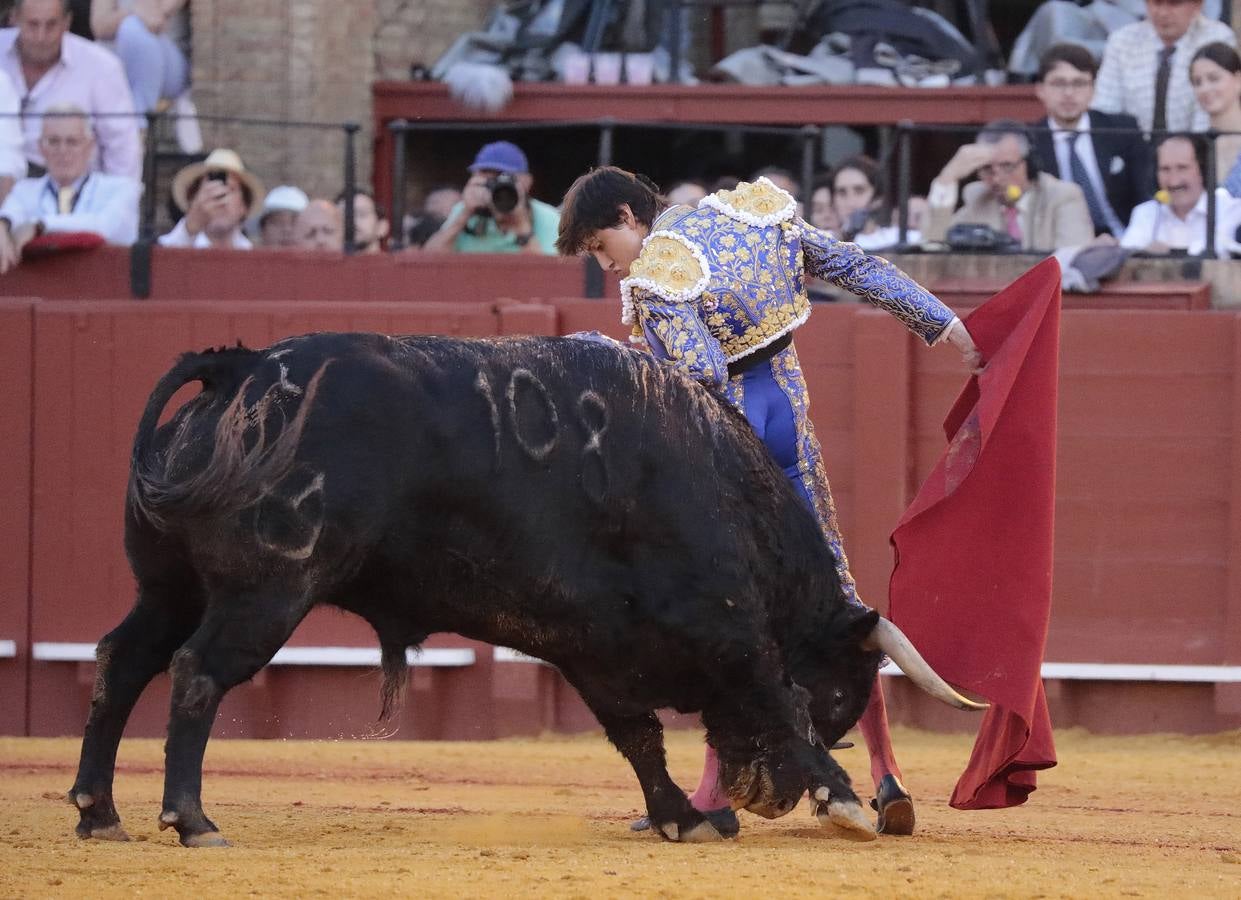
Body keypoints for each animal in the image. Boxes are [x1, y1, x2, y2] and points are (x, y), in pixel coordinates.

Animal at [67, 330, 977, 844]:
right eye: (842, 696)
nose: (763, 800)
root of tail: (244, 371)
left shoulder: (591, 645)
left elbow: (637, 737)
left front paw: (681, 816)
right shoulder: (726, 629)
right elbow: (769, 701)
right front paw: (844, 801)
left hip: (171, 587)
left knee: (121, 662)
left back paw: (99, 813)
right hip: (266, 592)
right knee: (197, 675)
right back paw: (191, 820)